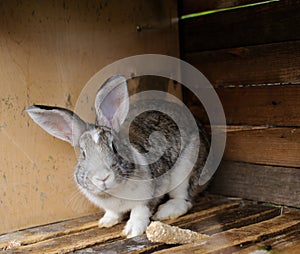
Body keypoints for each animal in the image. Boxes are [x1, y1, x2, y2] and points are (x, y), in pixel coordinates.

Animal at [25, 74, 210, 237]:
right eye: (83, 153)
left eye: (114, 147)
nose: (102, 177)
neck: (113, 191)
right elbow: (112, 212)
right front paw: (106, 222)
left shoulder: (150, 194)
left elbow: (140, 211)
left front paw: (132, 230)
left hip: (185, 171)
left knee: (184, 199)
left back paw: (166, 211)